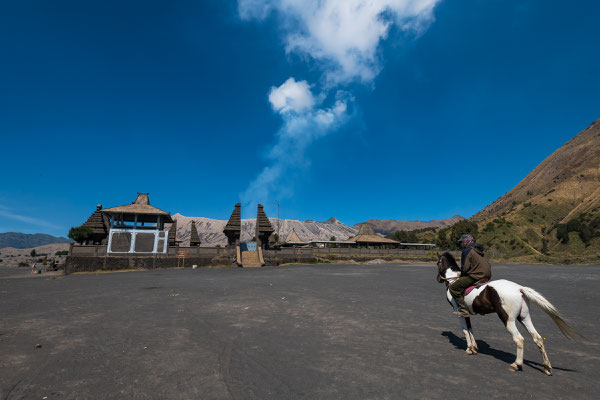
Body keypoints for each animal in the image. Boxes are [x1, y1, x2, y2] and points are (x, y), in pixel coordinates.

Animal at [436, 252, 580, 376]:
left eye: (438, 263)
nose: (438, 279)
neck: (454, 281)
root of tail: (519, 288)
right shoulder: (467, 313)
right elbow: (470, 329)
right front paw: (474, 347)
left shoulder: (459, 312)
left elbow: (466, 331)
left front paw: (470, 349)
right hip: (524, 317)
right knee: (537, 338)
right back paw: (546, 368)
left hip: (508, 319)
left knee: (519, 339)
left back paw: (516, 364)